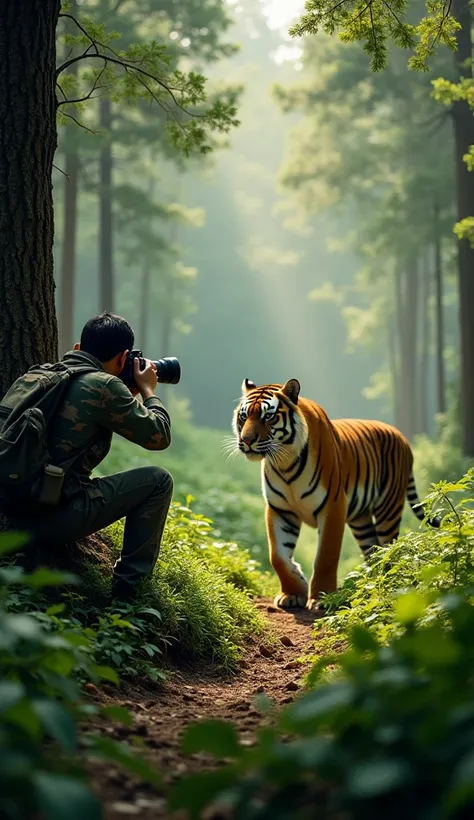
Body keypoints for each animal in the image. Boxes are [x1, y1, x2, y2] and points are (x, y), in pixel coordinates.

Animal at [233, 378, 440, 608]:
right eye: (244, 416)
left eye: (268, 416)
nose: (247, 440)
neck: (284, 461)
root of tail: (403, 438)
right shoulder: (280, 510)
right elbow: (277, 556)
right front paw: (293, 592)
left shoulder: (332, 506)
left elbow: (325, 556)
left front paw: (321, 598)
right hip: (361, 520)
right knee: (373, 550)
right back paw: (371, 586)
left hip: (388, 508)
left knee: (389, 548)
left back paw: (387, 585)